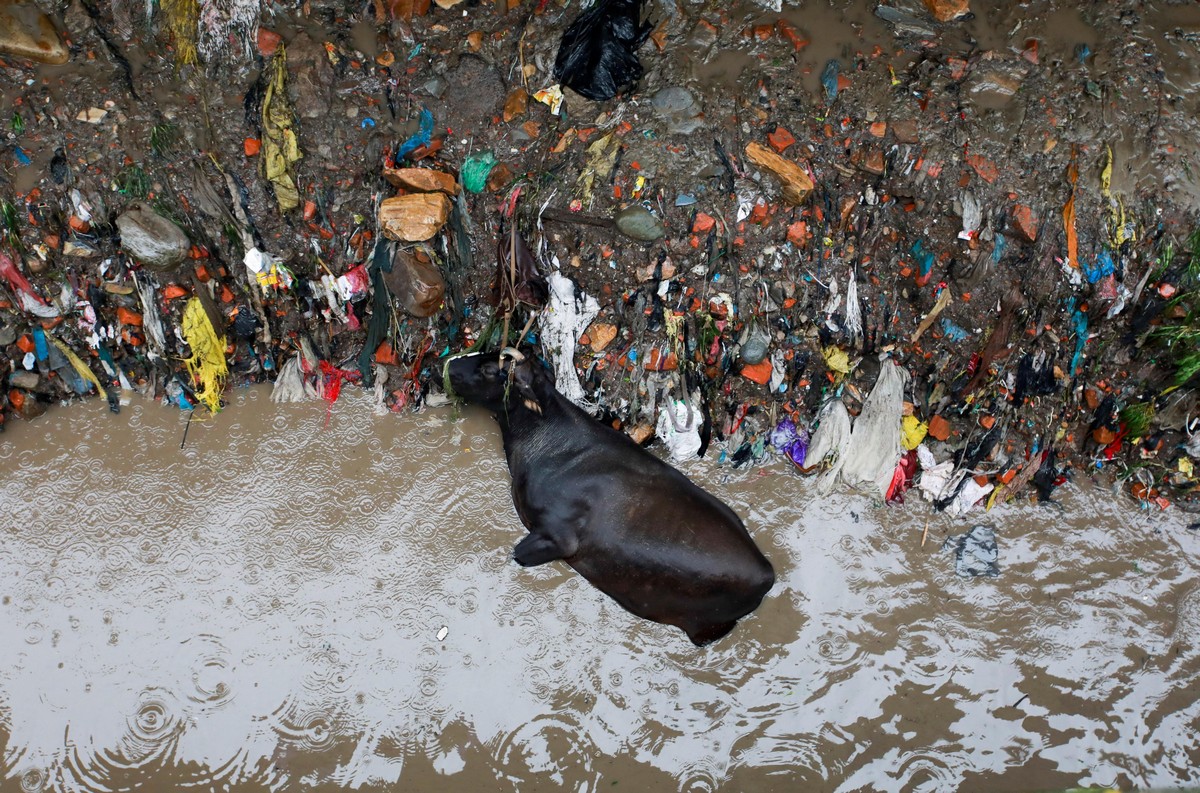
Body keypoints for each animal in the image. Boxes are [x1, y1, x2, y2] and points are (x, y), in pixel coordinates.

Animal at [446, 345, 772, 643]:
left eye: (491, 370)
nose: (447, 365)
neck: (548, 438)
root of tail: (767, 574)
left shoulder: (557, 535)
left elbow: (518, 554)